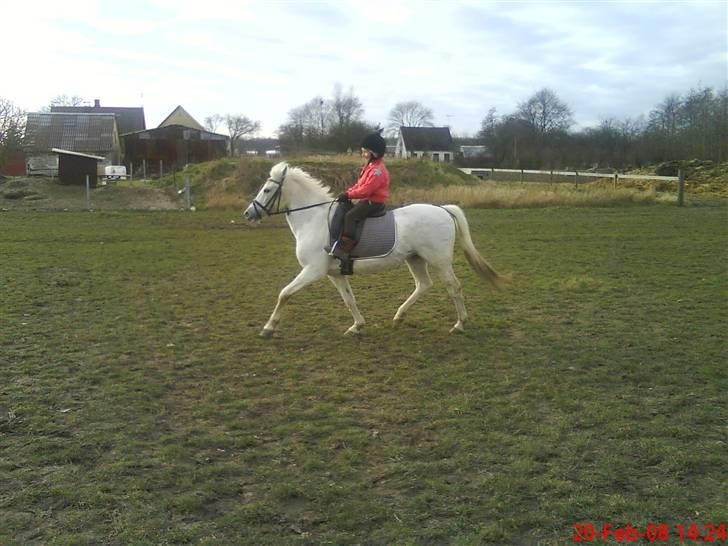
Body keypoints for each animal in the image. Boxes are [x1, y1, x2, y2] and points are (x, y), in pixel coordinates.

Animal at [242, 159, 504, 334]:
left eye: (267, 189)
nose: (248, 213)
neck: (313, 219)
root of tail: (443, 209)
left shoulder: (313, 271)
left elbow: (284, 293)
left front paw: (268, 327)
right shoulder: (334, 274)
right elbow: (349, 299)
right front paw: (357, 326)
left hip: (439, 260)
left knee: (454, 287)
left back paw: (459, 324)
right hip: (415, 259)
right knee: (424, 285)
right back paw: (399, 316)